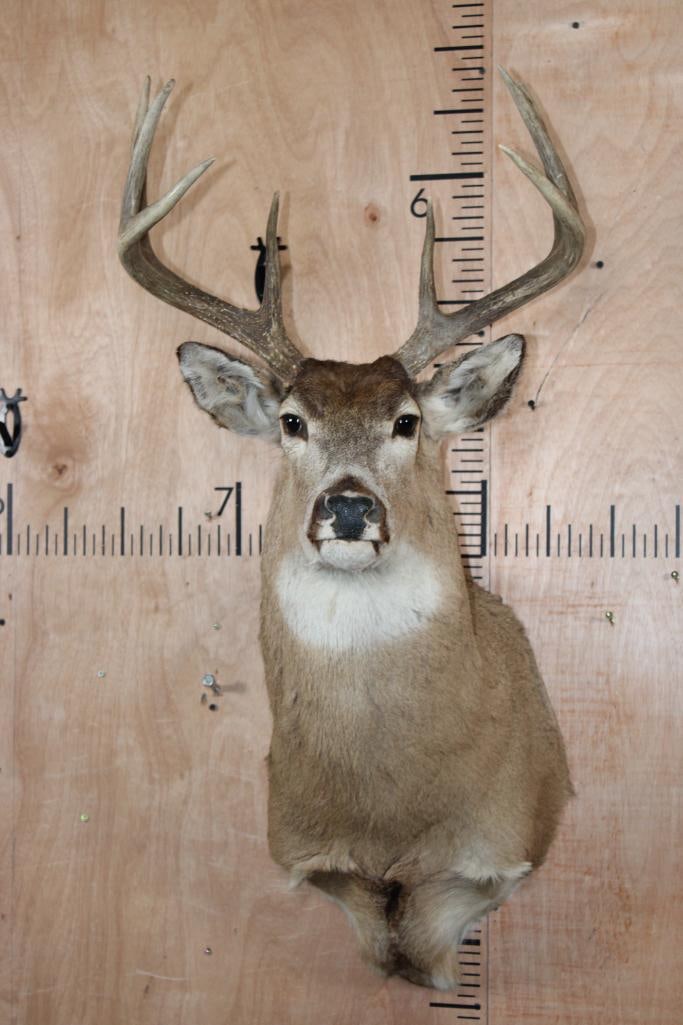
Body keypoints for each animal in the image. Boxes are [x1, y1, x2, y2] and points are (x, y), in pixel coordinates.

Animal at [118, 69, 584, 990]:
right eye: (292, 421)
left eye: (407, 421)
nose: (346, 505)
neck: (388, 814)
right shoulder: (306, 851)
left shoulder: (498, 848)